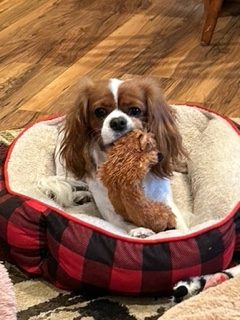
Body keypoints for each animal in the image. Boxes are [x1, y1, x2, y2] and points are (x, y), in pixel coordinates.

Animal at [38, 77, 188, 238]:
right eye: (100, 112)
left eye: (135, 110)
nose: (117, 122)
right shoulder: (110, 210)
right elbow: (123, 224)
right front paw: (140, 230)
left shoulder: (164, 197)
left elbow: (180, 225)